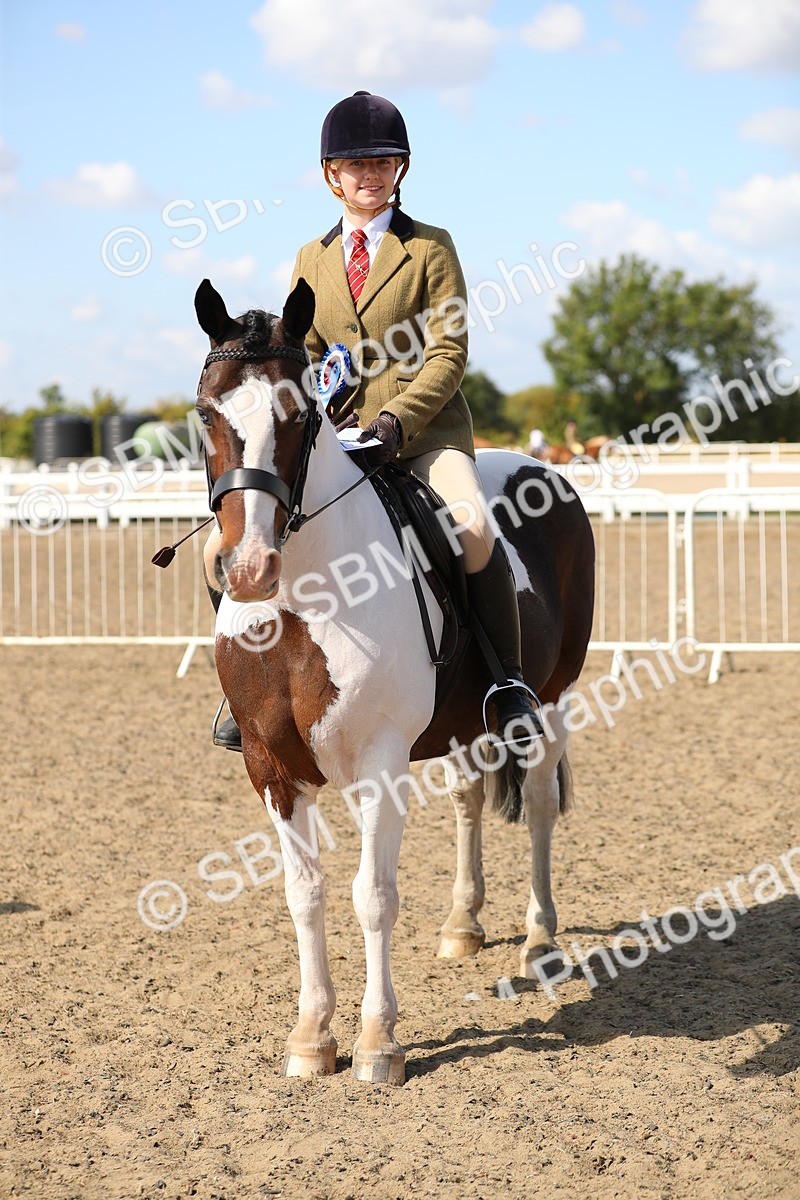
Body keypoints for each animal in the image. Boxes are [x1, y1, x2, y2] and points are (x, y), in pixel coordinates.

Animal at [194, 277, 595, 1085]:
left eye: (300, 413)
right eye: (206, 413)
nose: (246, 569)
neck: (306, 598)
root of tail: (543, 466)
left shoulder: (379, 762)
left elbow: (372, 896)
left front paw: (379, 1041)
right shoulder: (270, 767)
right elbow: (305, 894)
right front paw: (312, 1036)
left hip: (551, 700)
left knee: (538, 804)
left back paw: (540, 941)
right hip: (465, 724)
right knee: (470, 800)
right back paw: (463, 923)